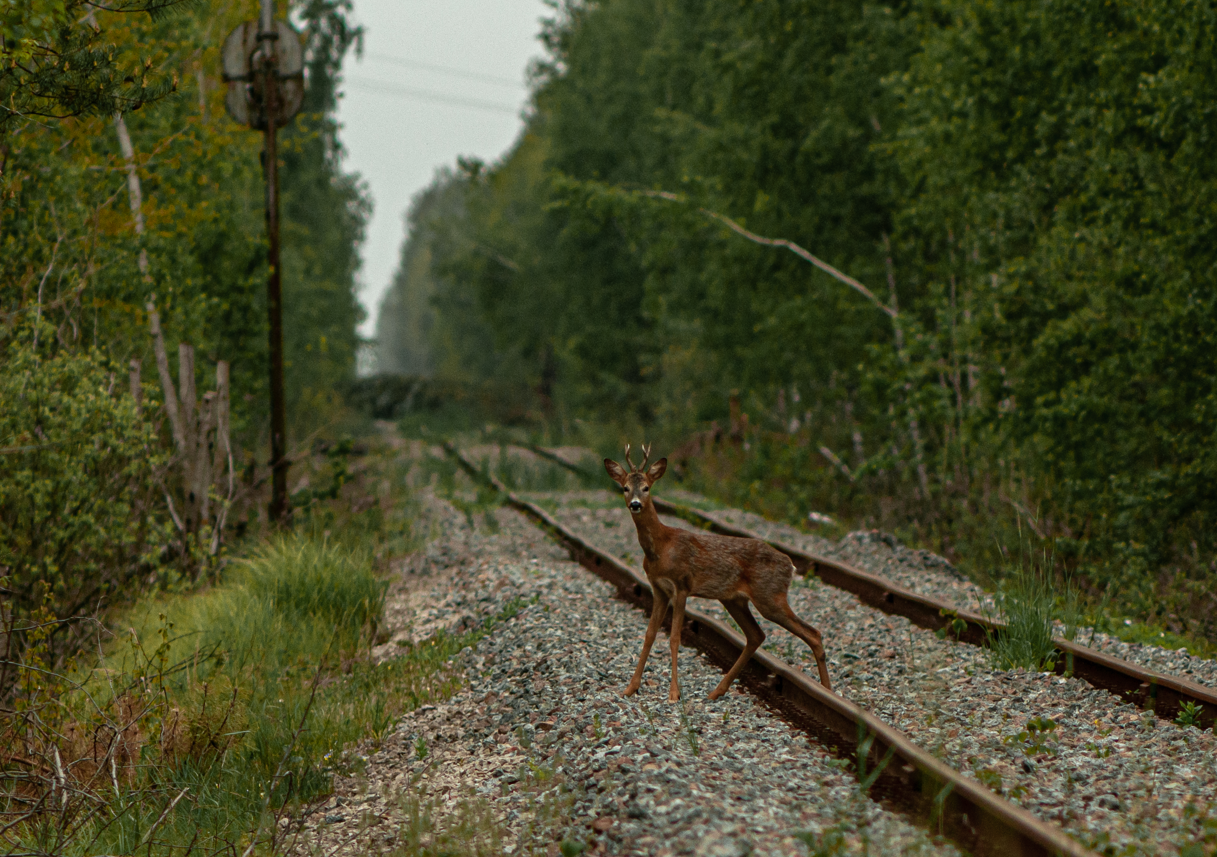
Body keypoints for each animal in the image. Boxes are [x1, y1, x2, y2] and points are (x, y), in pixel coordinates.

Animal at [604, 443, 832, 702]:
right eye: (625, 488)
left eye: (646, 487)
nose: (635, 504)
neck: (662, 548)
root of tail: (790, 564)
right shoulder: (658, 588)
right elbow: (650, 634)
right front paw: (630, 688)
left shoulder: (682, 585)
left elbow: (674, 637)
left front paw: (674, 693)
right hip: (734, 599)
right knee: (757, 635)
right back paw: (717, 691)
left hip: (770, 596)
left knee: (813, 633)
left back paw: (826, 691)